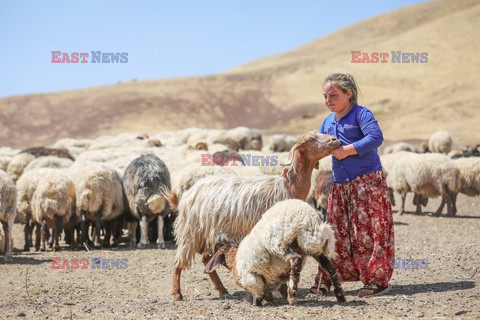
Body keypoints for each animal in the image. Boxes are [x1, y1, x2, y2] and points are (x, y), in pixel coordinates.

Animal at [204, 199, 344, 306]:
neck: (234, 259)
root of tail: (306, 216)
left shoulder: (251, 278)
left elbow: (258, 291)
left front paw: (256, 303)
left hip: (278, 243)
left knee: (295, 259)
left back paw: (292, 297)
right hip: (310, 245)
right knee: (330, 268)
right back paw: (340, 296)